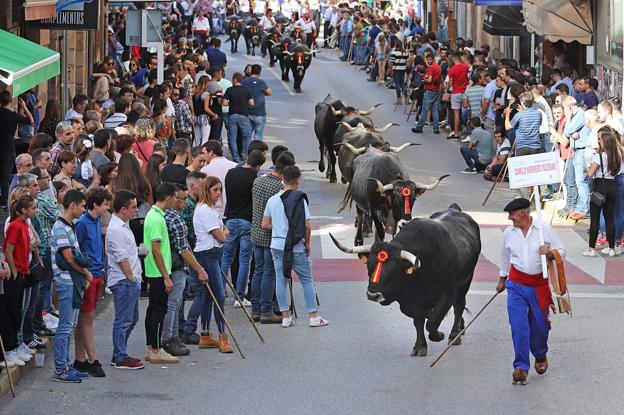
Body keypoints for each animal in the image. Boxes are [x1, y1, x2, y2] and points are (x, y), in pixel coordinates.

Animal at [330, 205, 480, 358]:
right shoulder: (411, 302)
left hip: (465, 282)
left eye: (393, 272)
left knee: (459, 306)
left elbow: (432, 322)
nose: (373, 295)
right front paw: (420, 346)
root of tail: (454, 209)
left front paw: (439, 335)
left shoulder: (448, 294)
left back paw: (455, 335)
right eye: (369, 267)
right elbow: (419, 321)